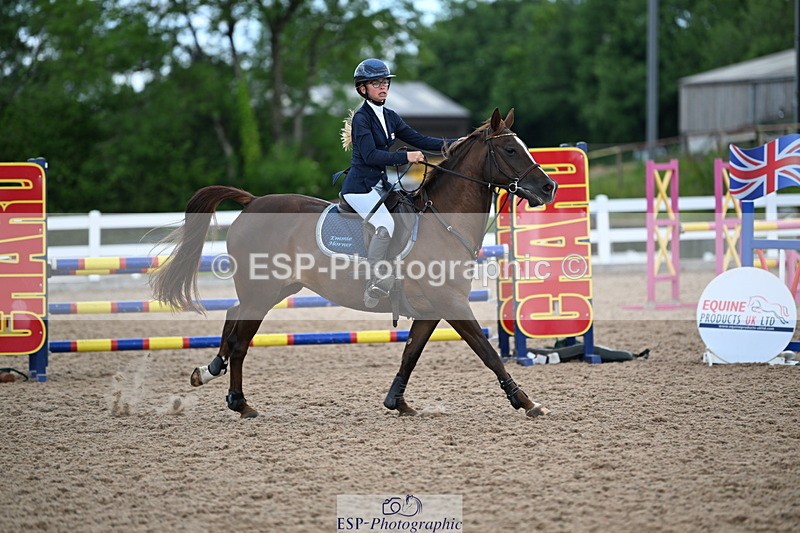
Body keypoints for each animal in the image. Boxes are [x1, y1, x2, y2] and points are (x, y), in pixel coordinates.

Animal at [151, 108, 558, 419]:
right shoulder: (452, 303)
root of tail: (252, 202)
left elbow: (411, 353)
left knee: (233, 318)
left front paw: (397, 402)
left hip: (273, 289)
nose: (549, 188)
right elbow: (489, 354)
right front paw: (526, 402)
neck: (443, 221)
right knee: (239, 340)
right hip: (261, 292)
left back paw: (209, 372)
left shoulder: (433, 309)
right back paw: (239, 403)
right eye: (510, 148)